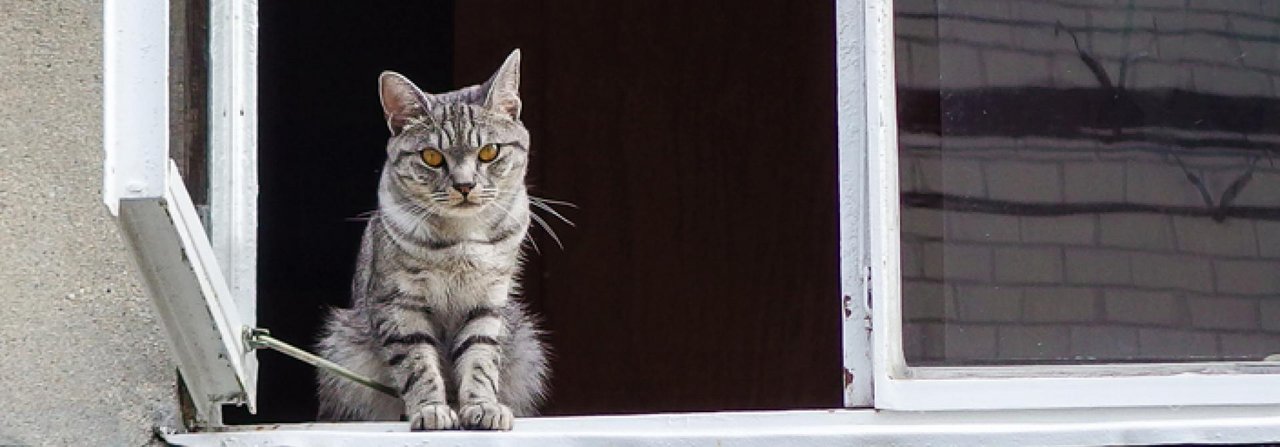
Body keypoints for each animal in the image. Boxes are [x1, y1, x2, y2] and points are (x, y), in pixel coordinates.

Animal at [317, 50, 547, 430]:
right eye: (431, 156)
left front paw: (483, 406)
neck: (461, 239)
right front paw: (431, 409)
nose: (465, 185)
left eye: (489, 152)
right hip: (342, 347)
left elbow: (480, 358)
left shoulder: (487, 300)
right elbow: (417, 363)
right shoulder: (399, 304)